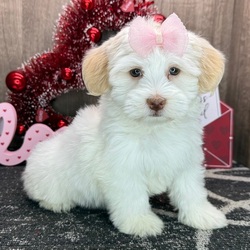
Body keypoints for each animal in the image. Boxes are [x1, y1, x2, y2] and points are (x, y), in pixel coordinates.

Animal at [22, 13, 228, 236]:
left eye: (174, 70)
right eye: (135, 72)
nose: (156, 102)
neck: (154, 129)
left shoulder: (186, 159)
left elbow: (191, 190)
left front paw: (202, 215)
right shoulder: (122, 167)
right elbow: (132, 196)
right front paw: (140, 222)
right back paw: (56, 203)